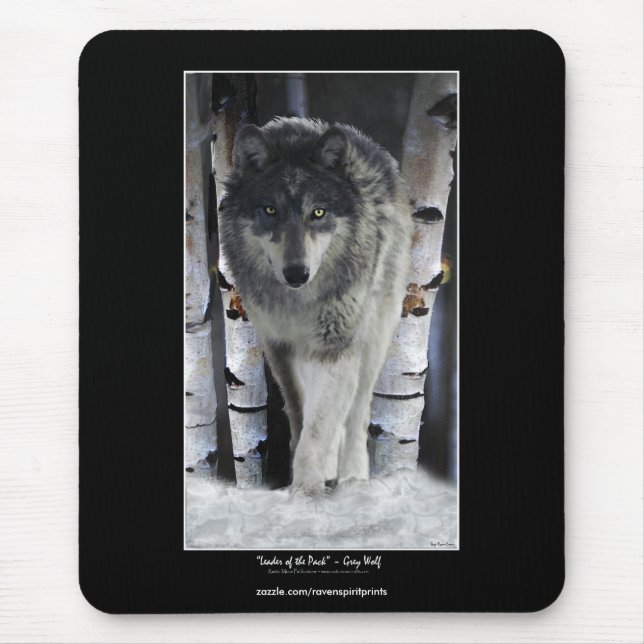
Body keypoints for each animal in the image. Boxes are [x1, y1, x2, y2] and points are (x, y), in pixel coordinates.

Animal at [220, 117, 412, 493]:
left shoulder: (335, 348)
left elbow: (319, 430)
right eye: (270, 210)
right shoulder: (278, 347)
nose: (297, 273)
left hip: (372, 341)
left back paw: (352, 478)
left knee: (356, 416)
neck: (298, 304)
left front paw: (307, 490)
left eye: (318, 212)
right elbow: (301, 418)